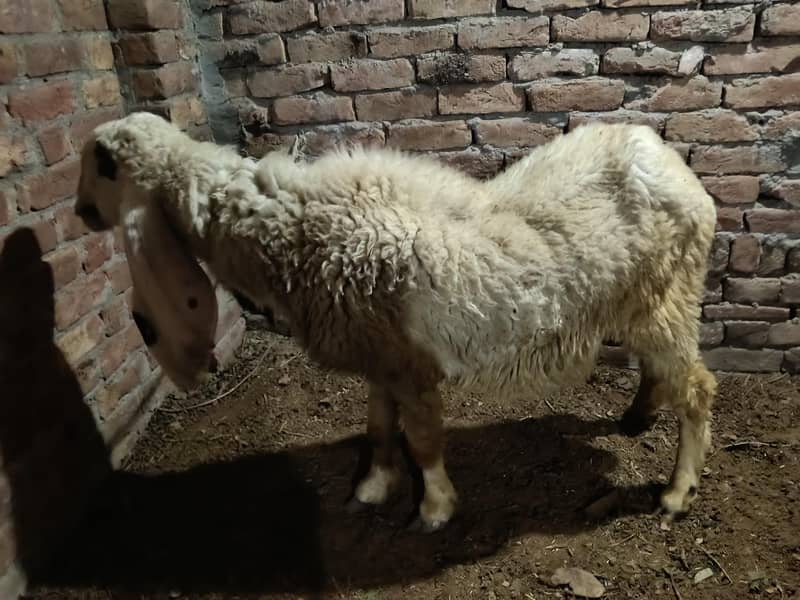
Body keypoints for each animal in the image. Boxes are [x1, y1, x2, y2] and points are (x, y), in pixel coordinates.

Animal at [75, 111, 718, 532]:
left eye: (102, 167)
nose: (80, 213)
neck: (297, 229)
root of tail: (665, 157)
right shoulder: (377, 355)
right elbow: (380, 425)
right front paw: (374, 486)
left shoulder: (410, 364)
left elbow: (424, 437)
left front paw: (434, 508)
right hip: (649, 301)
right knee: (663, 371)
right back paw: (636, 419)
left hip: (667, 296)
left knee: (697, 388)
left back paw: (678, 491)